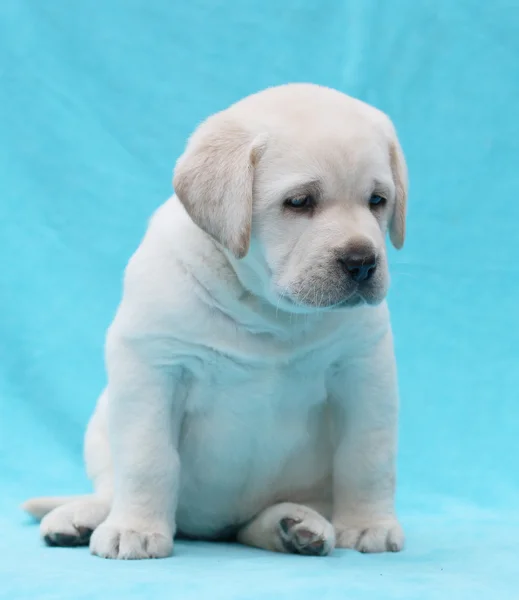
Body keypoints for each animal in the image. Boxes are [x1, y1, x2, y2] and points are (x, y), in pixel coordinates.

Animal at [24, 83, 408, 556]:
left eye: (378, 201)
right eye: (299, 202)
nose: (362, 262)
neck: (268, 311)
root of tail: (212, 527)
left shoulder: (364, 371)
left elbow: (367, 457)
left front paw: (370, 524)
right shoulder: (154, 367)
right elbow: (148, 458)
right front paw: (135, 529)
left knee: (254, 524)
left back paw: (294, 525)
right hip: (102, 418)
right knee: (109, 489)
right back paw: (81, 517)